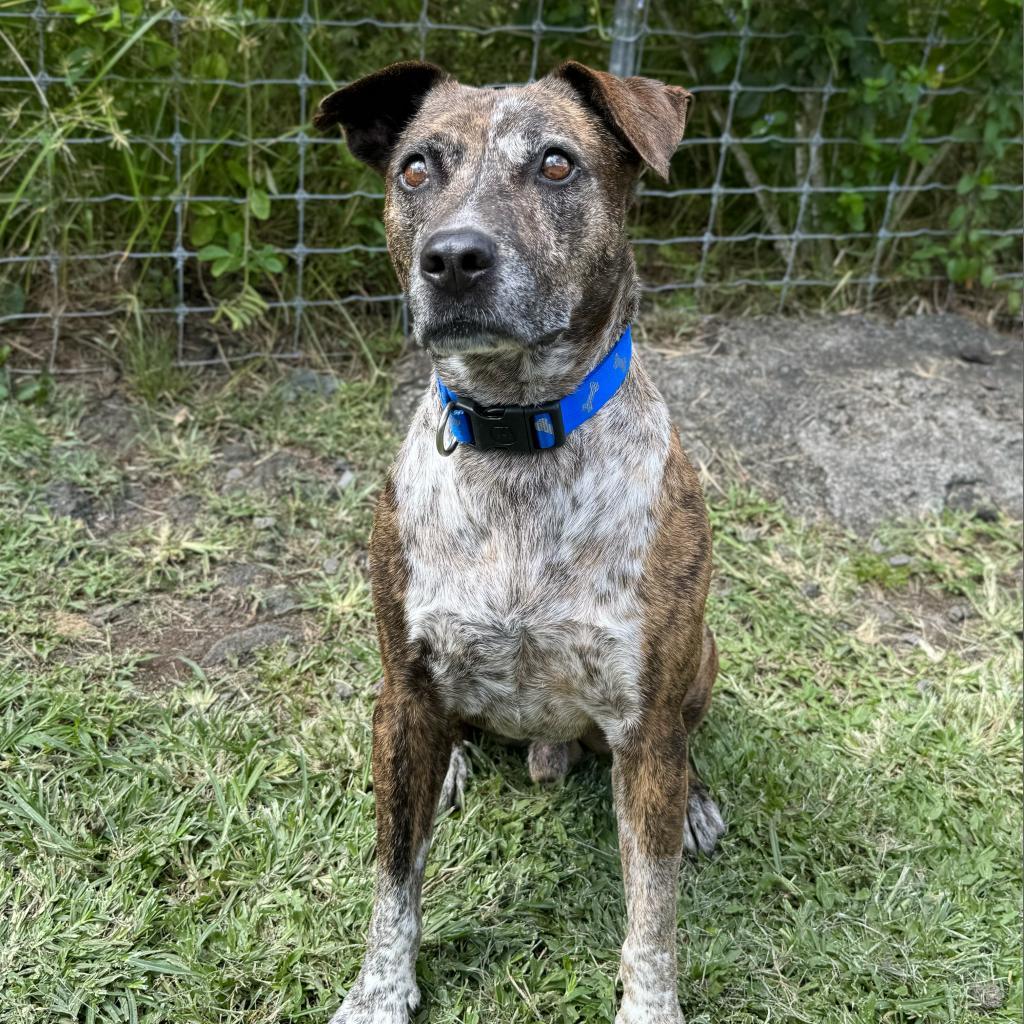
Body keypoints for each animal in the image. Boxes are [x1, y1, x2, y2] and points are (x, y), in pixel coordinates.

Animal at [315, 59, 724, 1019]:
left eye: (556, 164)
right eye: (416, 169)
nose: (454, 258)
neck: (515, 440)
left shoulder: (646, 720)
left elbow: (652, 906)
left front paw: (651, 1005)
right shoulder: (404, 681)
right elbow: (394, 877)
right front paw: (379, 994)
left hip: (702, 661)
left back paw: (695, 801)